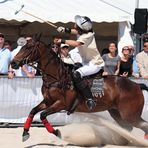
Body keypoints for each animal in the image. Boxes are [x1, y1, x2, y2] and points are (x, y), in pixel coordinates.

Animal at [10, 35, 148, 142]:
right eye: (22, 46)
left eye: (28, 47)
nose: (13, 63)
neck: (57, 77)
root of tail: (137, 85)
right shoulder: (48, 101)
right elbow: (33, 111)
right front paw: (25, 133)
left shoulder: (61, 104)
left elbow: (43, 115)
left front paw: (57, 132)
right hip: (116, 112)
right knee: (128, 128)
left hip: (130, 114)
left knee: (142, 125)